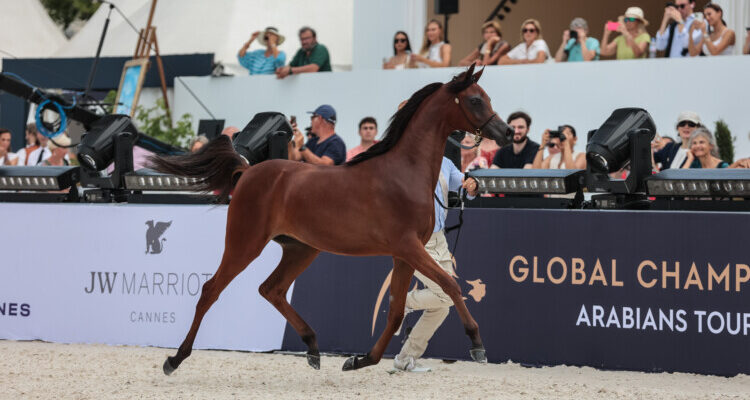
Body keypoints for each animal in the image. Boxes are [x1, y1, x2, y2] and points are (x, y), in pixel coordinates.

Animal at [153, 65, 516, 376]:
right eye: (475, 99)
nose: (507, 131)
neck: (404, 172)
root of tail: (247, 170)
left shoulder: (403, 255)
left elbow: (397, 310)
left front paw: (359, 361)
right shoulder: (408, 247)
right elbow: (450, 285)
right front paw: (477, 344)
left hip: (301, 249)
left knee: (271, 289)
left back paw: (313, 348)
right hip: (245, 243)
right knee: (211, 290)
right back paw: (175, 359)